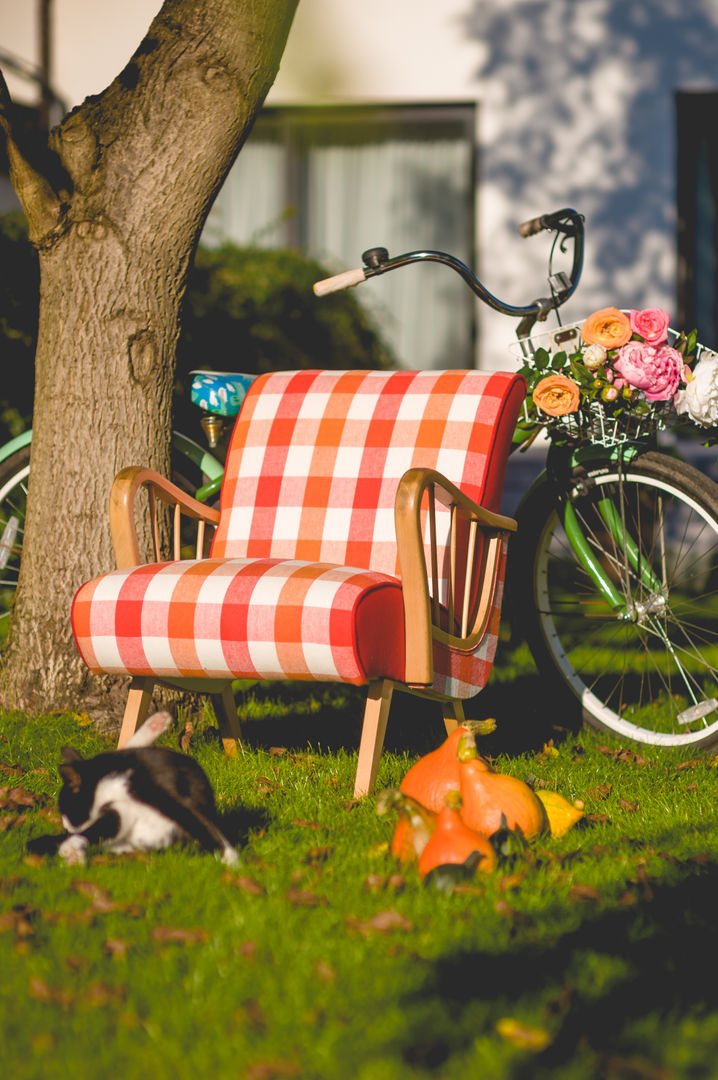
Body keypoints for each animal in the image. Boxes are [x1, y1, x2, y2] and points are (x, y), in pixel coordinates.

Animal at [34, 708, 237, 868]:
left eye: (70, 812)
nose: (69, 829)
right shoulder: (120, 815)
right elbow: (98, 830)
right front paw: (72, 851)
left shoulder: (169, 796)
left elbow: (200, 823)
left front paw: (231, 860)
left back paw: (156, 723)